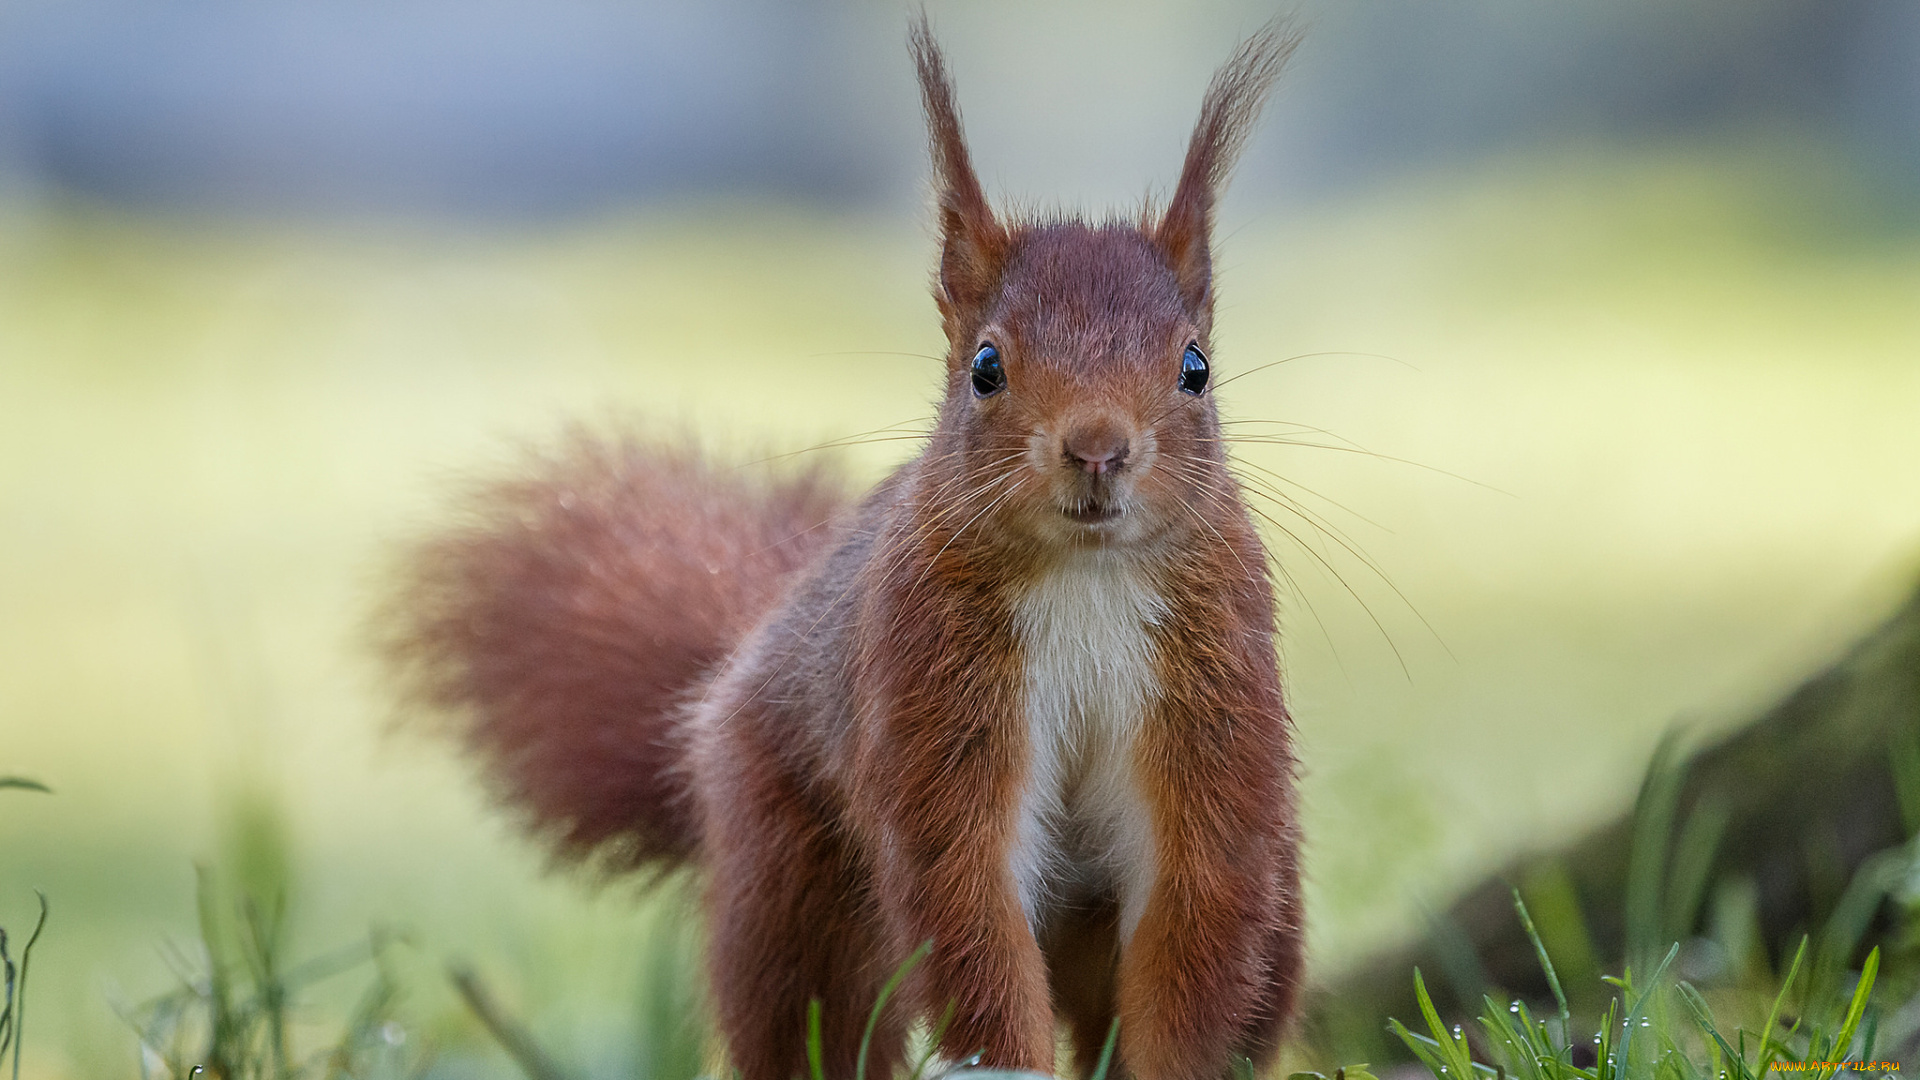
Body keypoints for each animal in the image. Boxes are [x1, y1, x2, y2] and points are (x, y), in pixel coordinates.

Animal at [397, 16, 1313, 1076]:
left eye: (1196, 368)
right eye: (986, 367)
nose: (1097, 449)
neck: (1086, 577)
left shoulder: (1213, 702)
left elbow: (1196, 907)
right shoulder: (926, 692)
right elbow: (963, 891)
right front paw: (1004, 1061)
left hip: (1278, 902)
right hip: (792, 877)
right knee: (816, 1015)